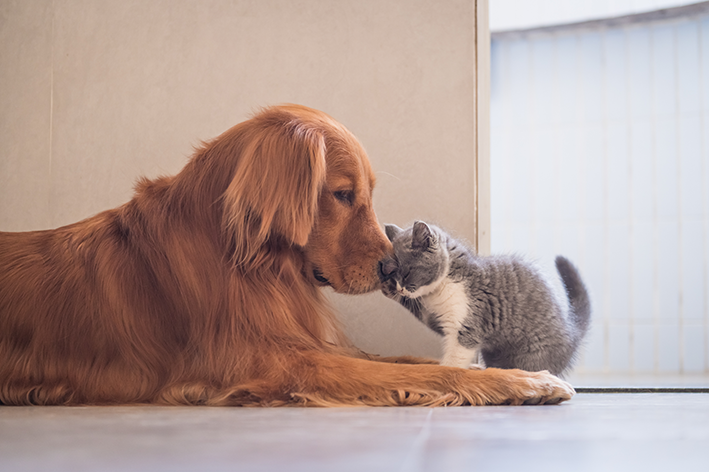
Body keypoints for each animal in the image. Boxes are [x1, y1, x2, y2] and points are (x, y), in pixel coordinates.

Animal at [378, 221, 588, 376]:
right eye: (394, 275)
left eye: (407, 273)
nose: (400, 288)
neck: (439, 289)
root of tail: (571, 333)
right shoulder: (436, 317)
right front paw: (387, 287)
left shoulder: (468, 323)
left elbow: (456, 356)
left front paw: (444, 372)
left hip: (532, 354)